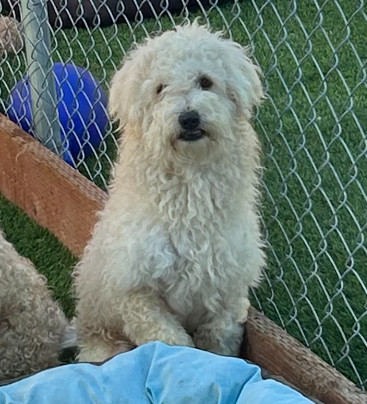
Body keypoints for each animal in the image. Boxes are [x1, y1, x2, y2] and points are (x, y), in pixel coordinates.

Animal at [75, 22, 266, 362]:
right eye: (160, 88)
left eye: (205, 81)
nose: (189, 118)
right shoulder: (137, 293)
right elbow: (172, 343)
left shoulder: (227, 289)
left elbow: (219, 343)